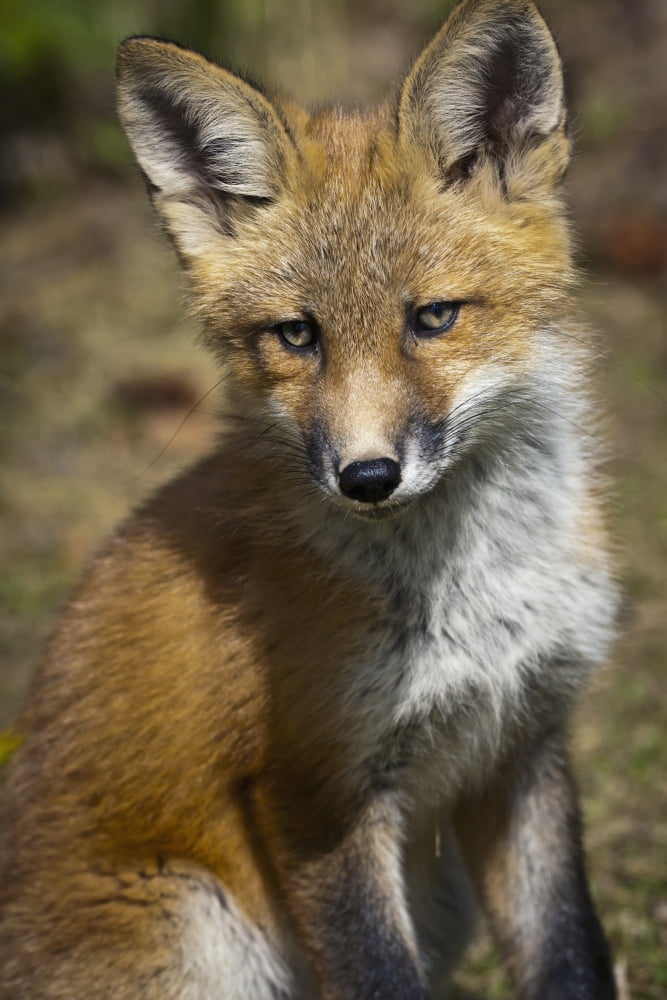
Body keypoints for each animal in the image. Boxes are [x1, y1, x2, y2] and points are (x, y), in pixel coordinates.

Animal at [0, 0, 620, 997]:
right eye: (297, 335)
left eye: (432, 318)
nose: (365, 477)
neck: (473, 592)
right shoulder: (313, 789)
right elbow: (377, 973)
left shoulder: (524, 743)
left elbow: (569, 954)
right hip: (199, 932)